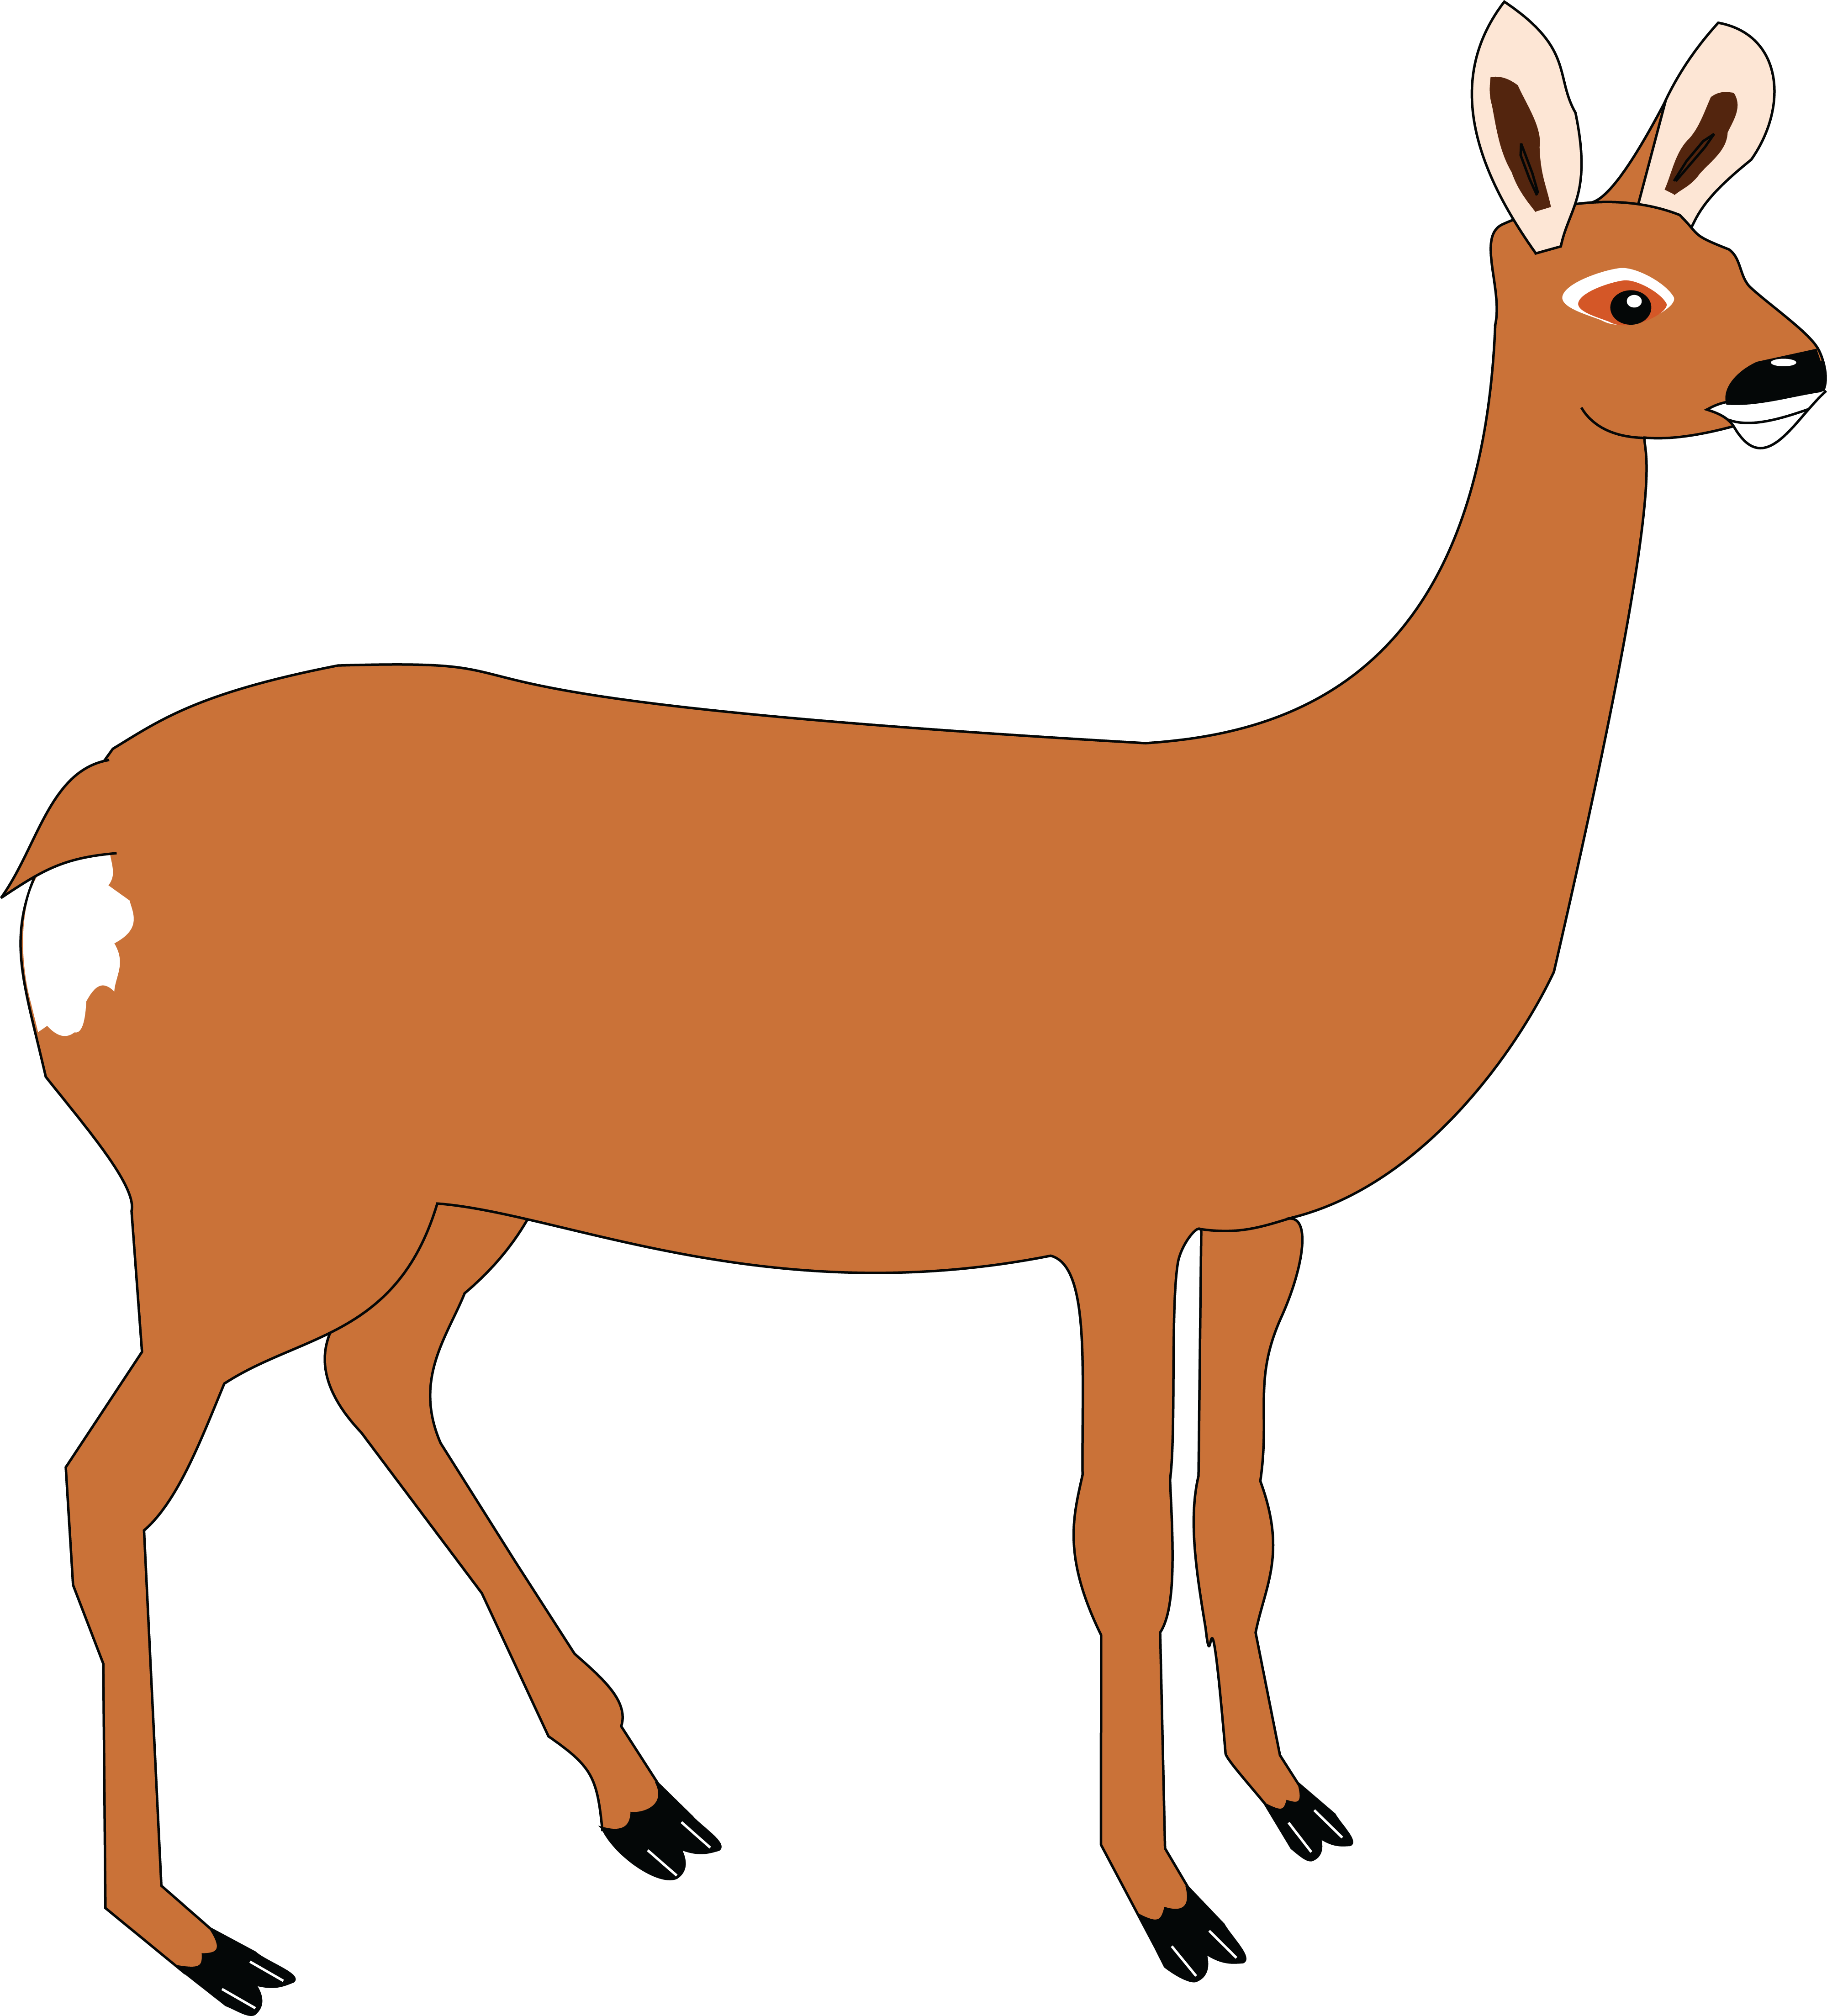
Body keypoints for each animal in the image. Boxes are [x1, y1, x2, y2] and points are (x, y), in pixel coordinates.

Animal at [13, 8, 1818, 2001]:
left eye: (1738, 257)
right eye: (1627, 295)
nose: (1792, 372)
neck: (1335, 833)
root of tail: (65, 853)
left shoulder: (1257, 1216)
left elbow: (1239, 1512)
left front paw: (1294, 1805)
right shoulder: (1113, 1209)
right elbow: (1116, 1535)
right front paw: (1167, 1896)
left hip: (440, 1192)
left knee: (377, 1375)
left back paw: (646, 1800)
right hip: (244, 1187)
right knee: (116, 1472)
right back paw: (202, 1932)